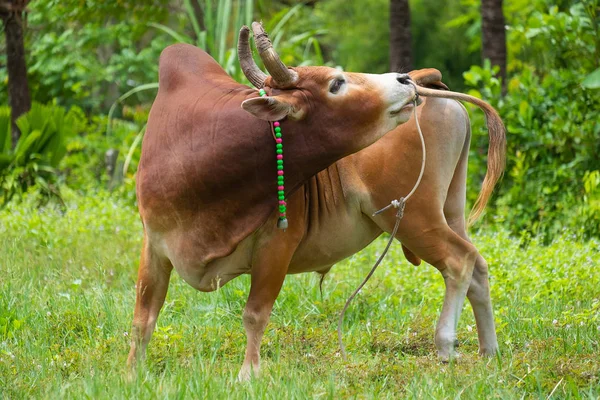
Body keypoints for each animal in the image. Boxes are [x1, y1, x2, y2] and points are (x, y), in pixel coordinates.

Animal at [125, 23, 422, 380]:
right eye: (336, 83)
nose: (405, 79)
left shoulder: (277, 244)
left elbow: (255, 314)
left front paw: (248, 374)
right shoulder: (154, 243)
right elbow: (143, 318)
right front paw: (131, 373)